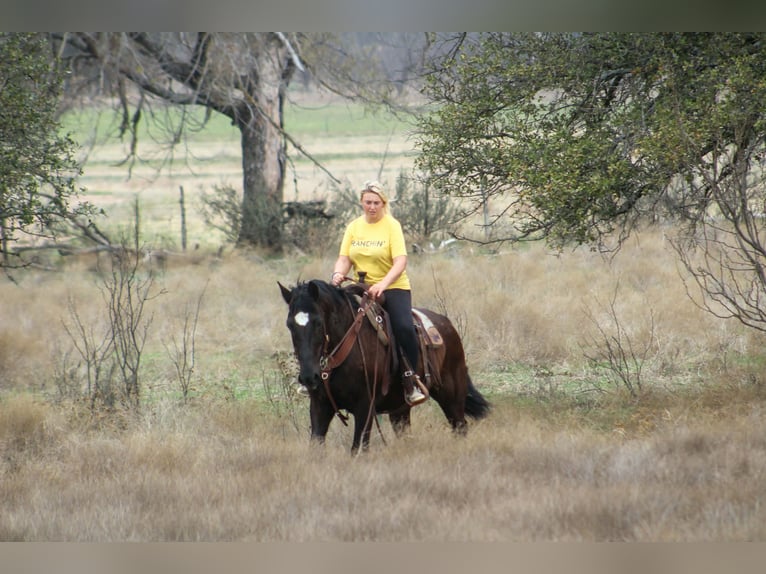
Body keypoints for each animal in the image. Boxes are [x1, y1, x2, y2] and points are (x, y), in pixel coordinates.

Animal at [278, 278, 490, 453]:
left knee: (460, 427)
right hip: (400, 409)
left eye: (318, 322)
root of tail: (447, 324)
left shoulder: (365, 407)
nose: (308, 377)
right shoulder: (320, 405)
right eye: (289, 324)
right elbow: (316, 446)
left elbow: (358, 449)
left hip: (451, 397)